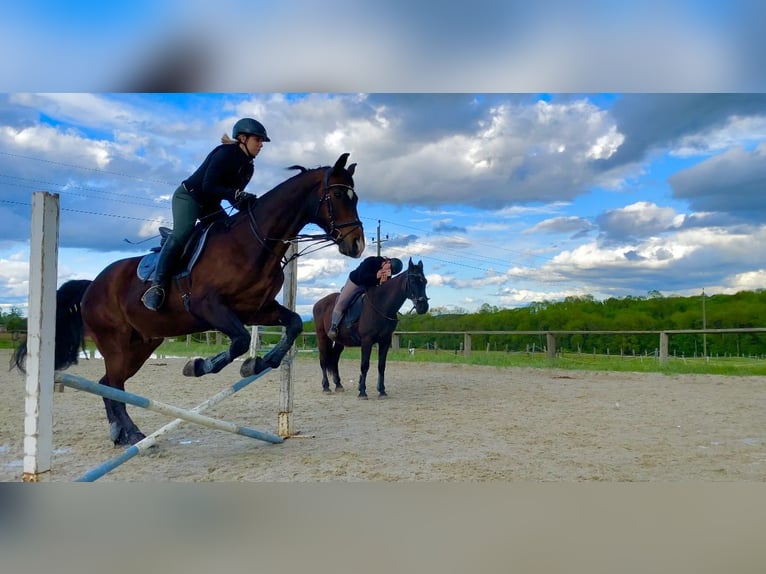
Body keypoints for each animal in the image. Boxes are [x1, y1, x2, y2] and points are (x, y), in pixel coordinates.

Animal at [13, 152, 368, 446]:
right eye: (338, 195)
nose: (357, 244)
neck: (254, 240)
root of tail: (91, 286)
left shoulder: (257, 309)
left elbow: (292, 324)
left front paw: (260, 363)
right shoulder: (208, 307)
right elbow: (239, 341)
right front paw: (199, 365)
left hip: (141, 344)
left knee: (110, 383)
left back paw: (121, 432)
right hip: (114, 341)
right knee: (111, 383)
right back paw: (130, 433)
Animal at [314, 260, 432, 400]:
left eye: (425, 281)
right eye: (413, 281)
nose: (423, 306)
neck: (381, 305)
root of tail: (319, 303)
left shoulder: (385, 341)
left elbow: (381, 366)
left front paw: (382, 391)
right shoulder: (367, 341)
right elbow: (365, 365)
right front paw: (362, 392)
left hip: (339, 341)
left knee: (334, 359)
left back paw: (338, 385)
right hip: (322, 337)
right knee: (323, 360)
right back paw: (326, 387)